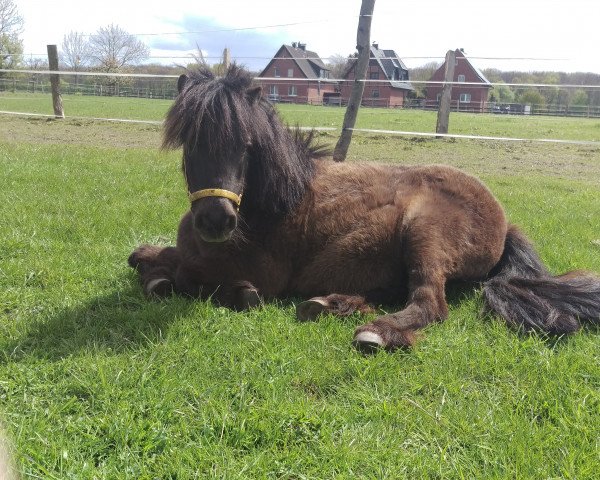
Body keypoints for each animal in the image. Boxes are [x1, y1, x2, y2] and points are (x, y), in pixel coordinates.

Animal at [129, 64, 600, 352]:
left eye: (245, 145)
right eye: (190, 142)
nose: (215, 220)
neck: (276, 203)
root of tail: (505, 223)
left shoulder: (260, 271)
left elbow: (186, 274)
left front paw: (221, 289)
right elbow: (152, 256)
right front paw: (152, 261)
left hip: (425, 233)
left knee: (430, 303)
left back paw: (376, 332)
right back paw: (331, 304)